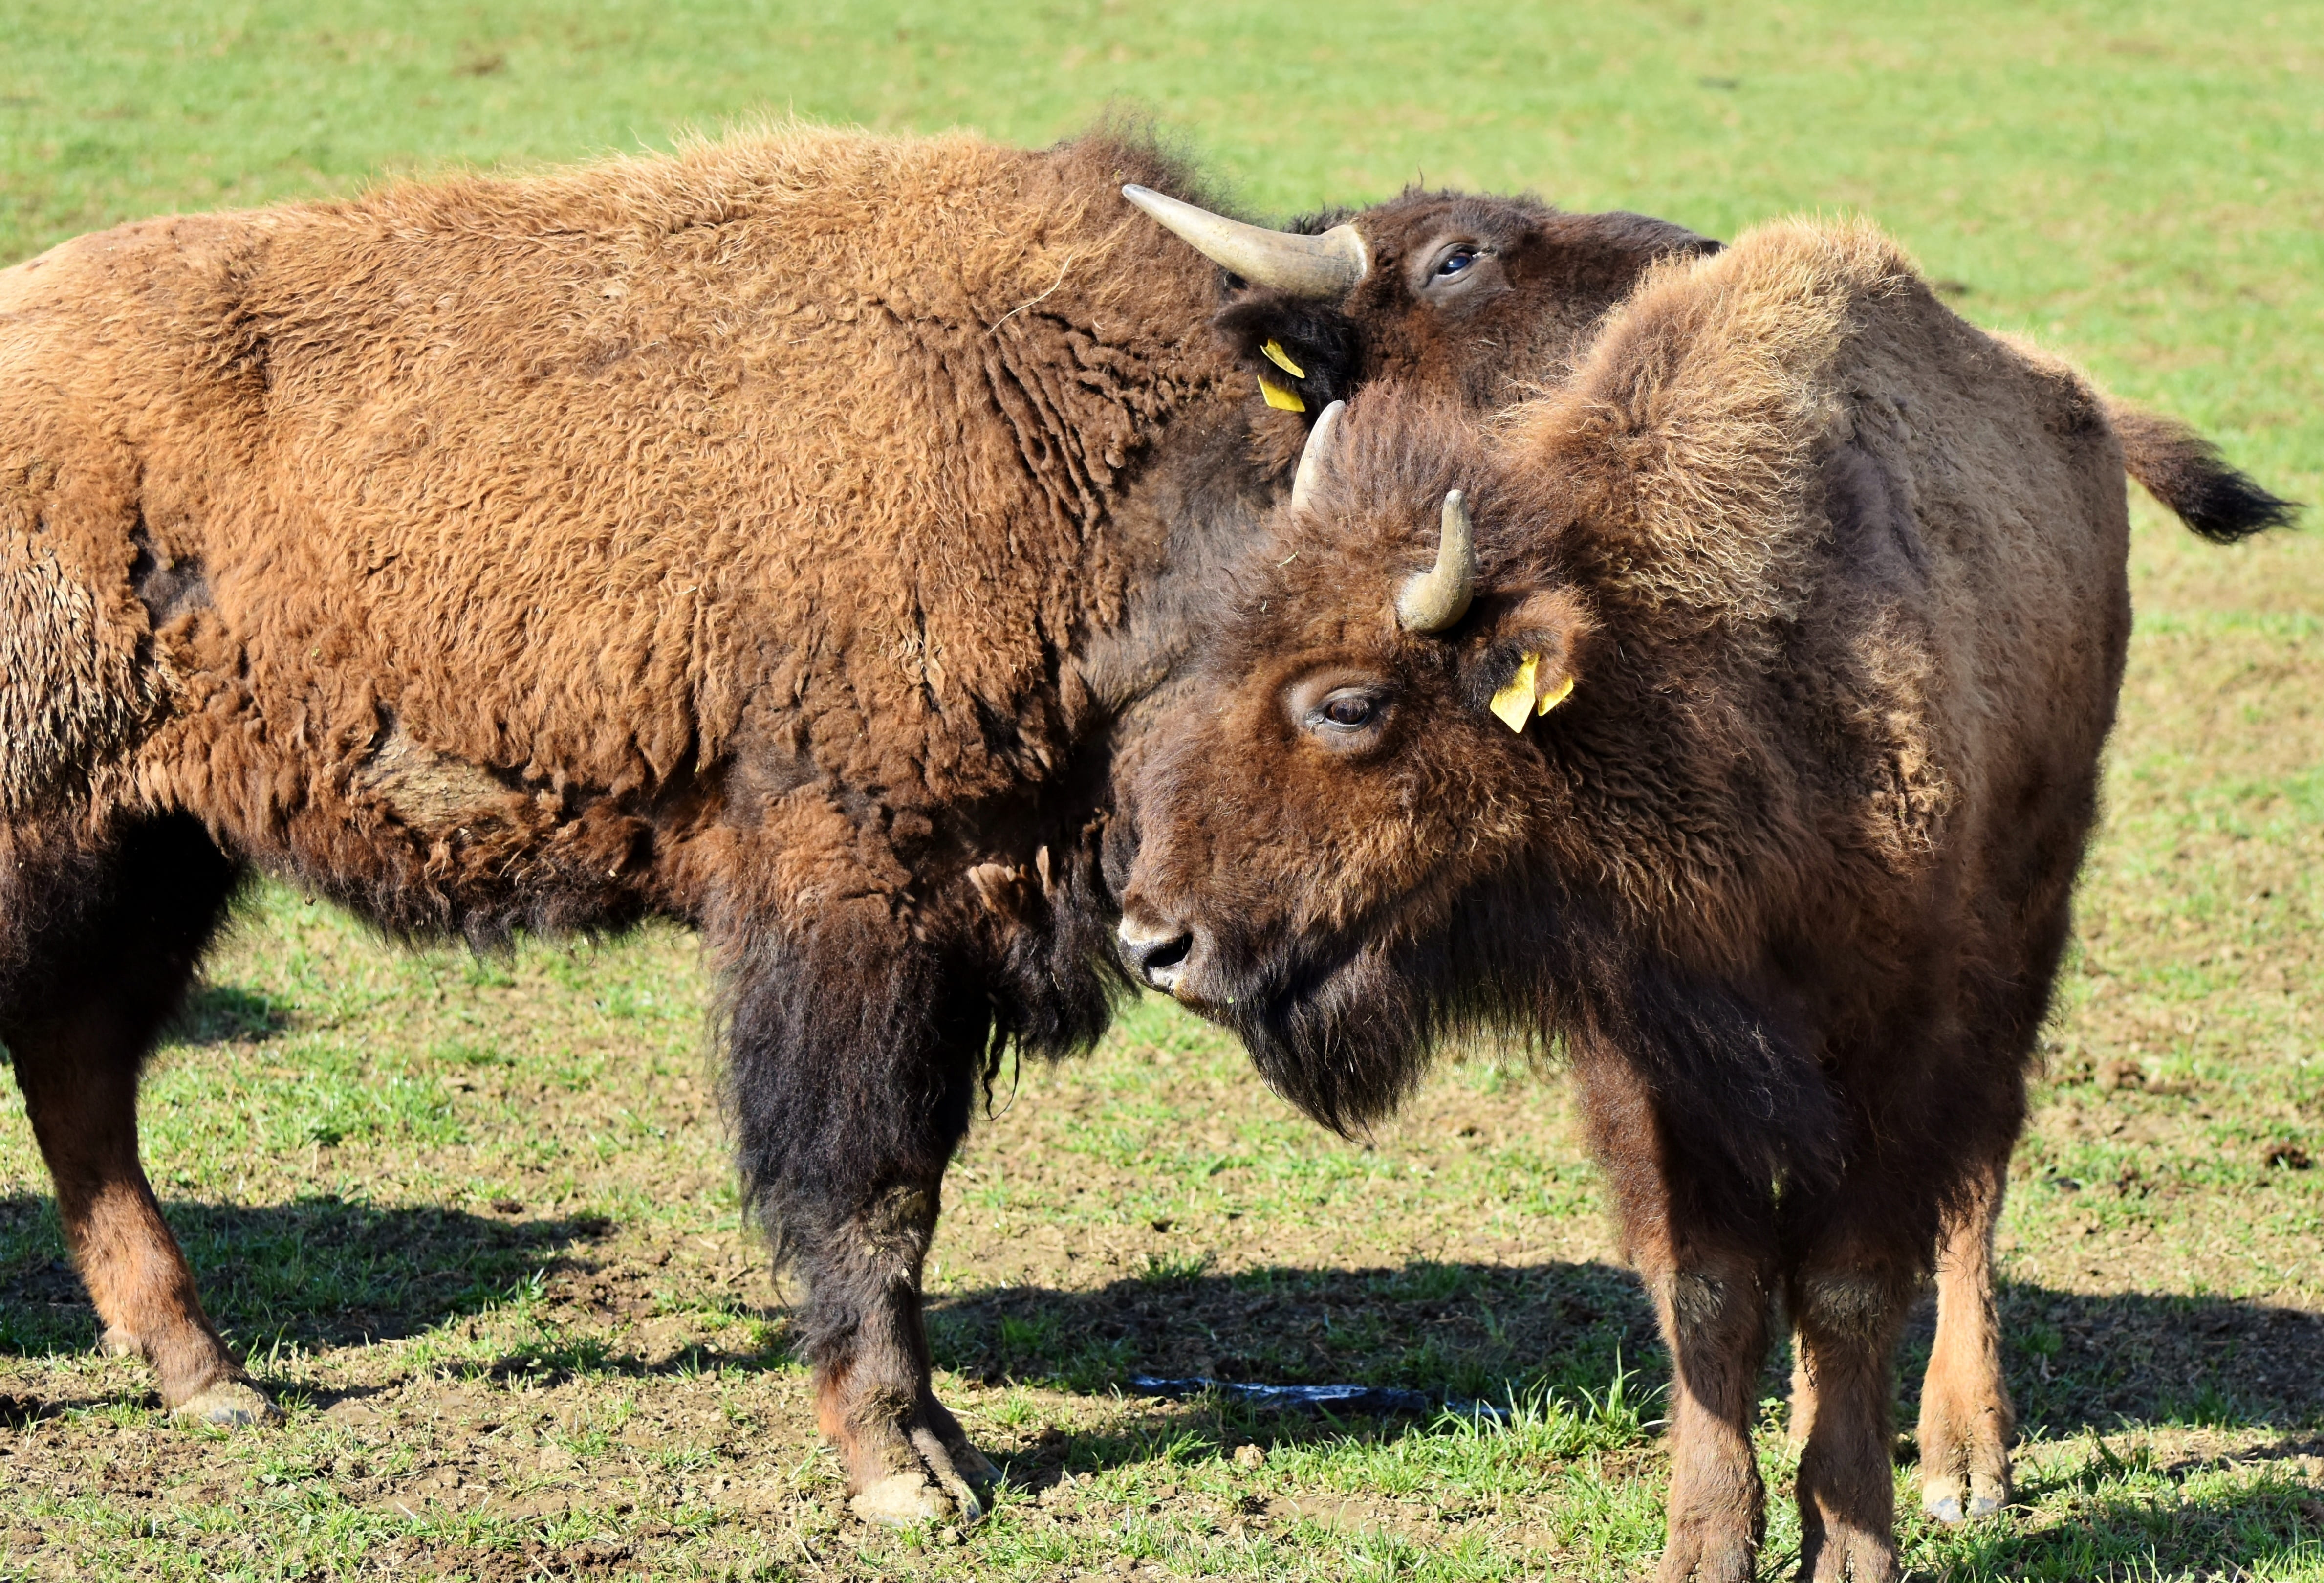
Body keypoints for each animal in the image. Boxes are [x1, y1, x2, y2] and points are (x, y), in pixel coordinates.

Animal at [1114, 220, 2292, 1580]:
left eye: (1349, 703)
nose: (1154, 939)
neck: (1672, 675)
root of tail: (2078, 406)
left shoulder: (1896, 1036)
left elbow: (1850, 1278)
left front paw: (1851, 1540)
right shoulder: (1654, 1063)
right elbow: (1709, 1292)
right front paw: (1711, 1540)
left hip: (2027, 919)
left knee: (1976, 1183)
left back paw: (1963, 1459)